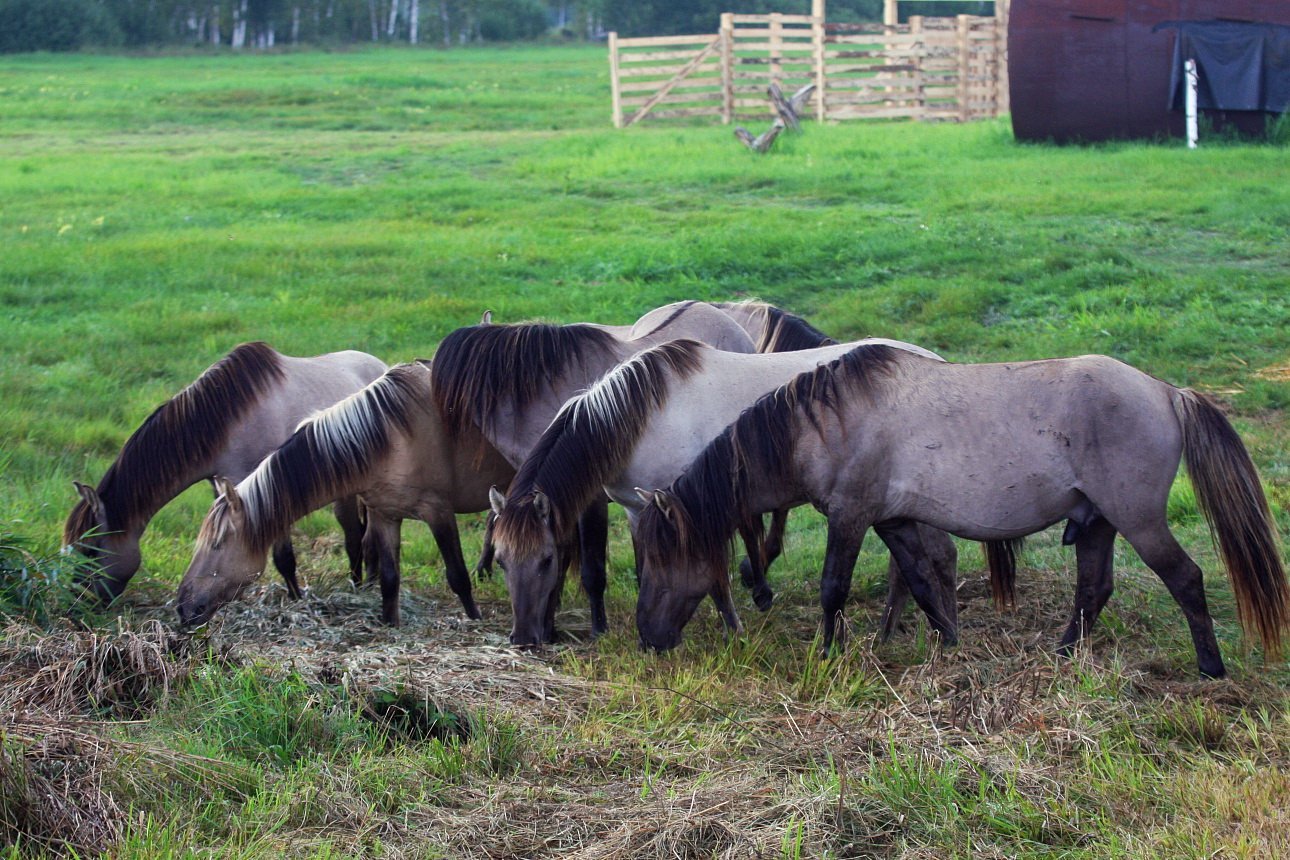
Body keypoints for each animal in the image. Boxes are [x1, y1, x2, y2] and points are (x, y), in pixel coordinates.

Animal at [64, 340, 384, 603]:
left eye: (91, 550)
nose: (78, 603)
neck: (230, 419)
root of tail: (378, 365)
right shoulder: (224, 490)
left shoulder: (272, 490)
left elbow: (283, 557)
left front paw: (295, 600)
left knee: (355, 537)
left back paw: (360, 586)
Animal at [175, 361, 513, 629]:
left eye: (217, 545)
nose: (183, 606)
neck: (390, 436)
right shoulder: (384, 514)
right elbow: (389, 579)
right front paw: (390, 624)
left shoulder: (438, 512)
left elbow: (457, 575)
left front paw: (475, 620)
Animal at [479, 335, 954, 644]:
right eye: (499, 560)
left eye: (546, 559)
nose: (523, 638)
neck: (641, 416)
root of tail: (936, 360)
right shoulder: (639, 510)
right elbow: (646, 569)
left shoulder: (693, 510)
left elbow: (715, 577)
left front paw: (734, 630)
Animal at [637, 342, 1290, 680]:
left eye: (663, 560)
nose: (647, 637)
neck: (825, 424)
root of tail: (1166, 392)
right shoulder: (892, 521)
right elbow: (923, 582)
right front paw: (948, 642)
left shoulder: (850, 517)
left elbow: (833, 589)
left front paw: (827, 655)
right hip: (1099, 523)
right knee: (1094, 588)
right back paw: (1062, 654)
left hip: (1139, 521)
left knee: (1186, 579)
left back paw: (1210, 668)